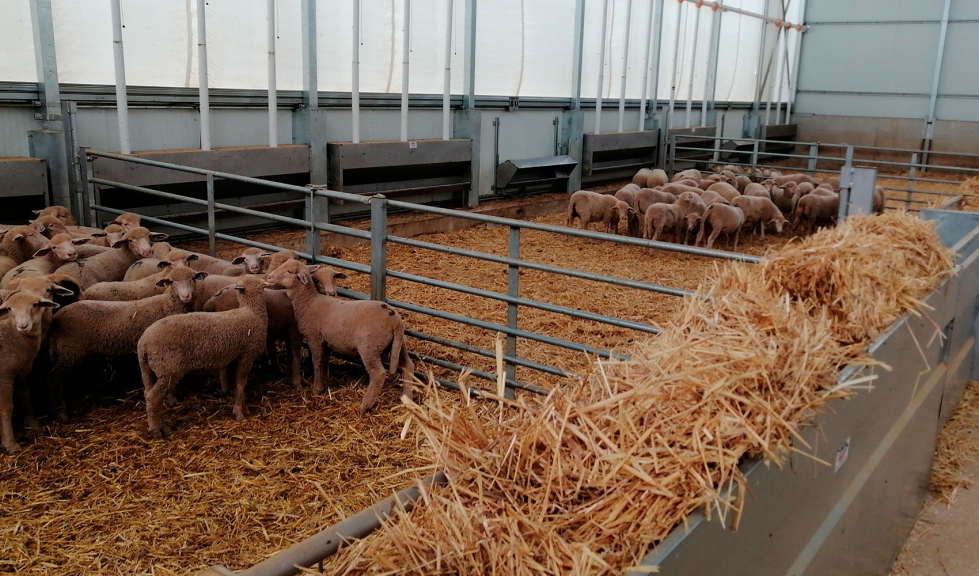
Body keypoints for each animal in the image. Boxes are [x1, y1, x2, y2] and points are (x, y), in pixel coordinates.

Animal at [0, 290, 59, 452]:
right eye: (9, 309)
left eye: (35, 304)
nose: (23, 325)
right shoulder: (4, 377)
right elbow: (6, 408)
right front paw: (10, 443)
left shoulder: (20, 372)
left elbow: (25, 394)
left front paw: (32, 423)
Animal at [47, 266, 209, 424]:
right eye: (172, 282)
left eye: (192, 278)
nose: (185, 296)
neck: (167, 304)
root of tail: (57, 317)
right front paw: (172, 399)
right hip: (70, 351)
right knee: (54, 378)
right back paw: (61, 414)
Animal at [137, 274, 268, 436]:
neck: (252, 312)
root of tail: (143, 343)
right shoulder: (247, 355)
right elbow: (241, 384)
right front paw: (239, 412)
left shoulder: (234, 358)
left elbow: (237, 384)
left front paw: (243, 407)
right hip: (168, 369)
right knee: (153, 398)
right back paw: (157, 431)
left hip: (148, 370)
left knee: (148, 394)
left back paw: (162, 427)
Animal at [264, 260, 414, 414]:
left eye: (289, 271)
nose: (269, 277)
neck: (309, 302)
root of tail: (394, 320)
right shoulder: (327, 342)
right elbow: (324, 361)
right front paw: (325, 383)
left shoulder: (314, 338)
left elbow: (316, 362)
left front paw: (316, 389)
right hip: (399, 344)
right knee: (408, 365)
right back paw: (408, 398)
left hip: (369, 348)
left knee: (378, 374)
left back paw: (364, 406)